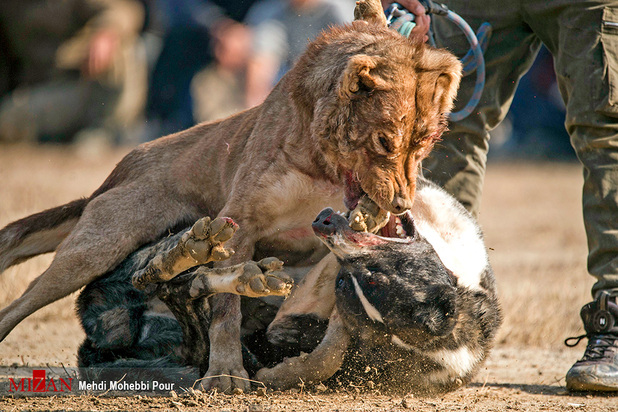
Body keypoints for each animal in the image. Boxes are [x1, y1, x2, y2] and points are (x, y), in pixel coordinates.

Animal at [77, 175, 500, 394]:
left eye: (364, 281)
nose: (325, 225)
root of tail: (99, 332)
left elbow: (325, 357)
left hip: (186, 337)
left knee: (176, 289)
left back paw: (224, 275)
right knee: (163, 273)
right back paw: (195, 253)